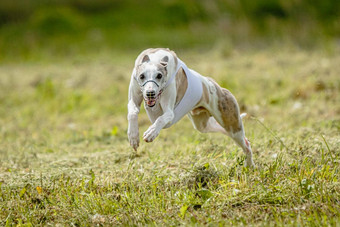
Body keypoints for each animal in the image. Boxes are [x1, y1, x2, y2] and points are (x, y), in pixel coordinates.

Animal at [127, 47, 255, 167]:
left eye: (159, 75)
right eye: (142, 76)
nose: (150, 93)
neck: (155, 58)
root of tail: (214, 85)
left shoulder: (169, 113)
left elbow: (161, 118)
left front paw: (151, 132)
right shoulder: (134, 98)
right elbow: (133, 111)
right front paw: (133, 136)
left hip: (231, 124)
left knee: (245, 144)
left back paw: (250, 164)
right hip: (203, 124)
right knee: (222, 130)